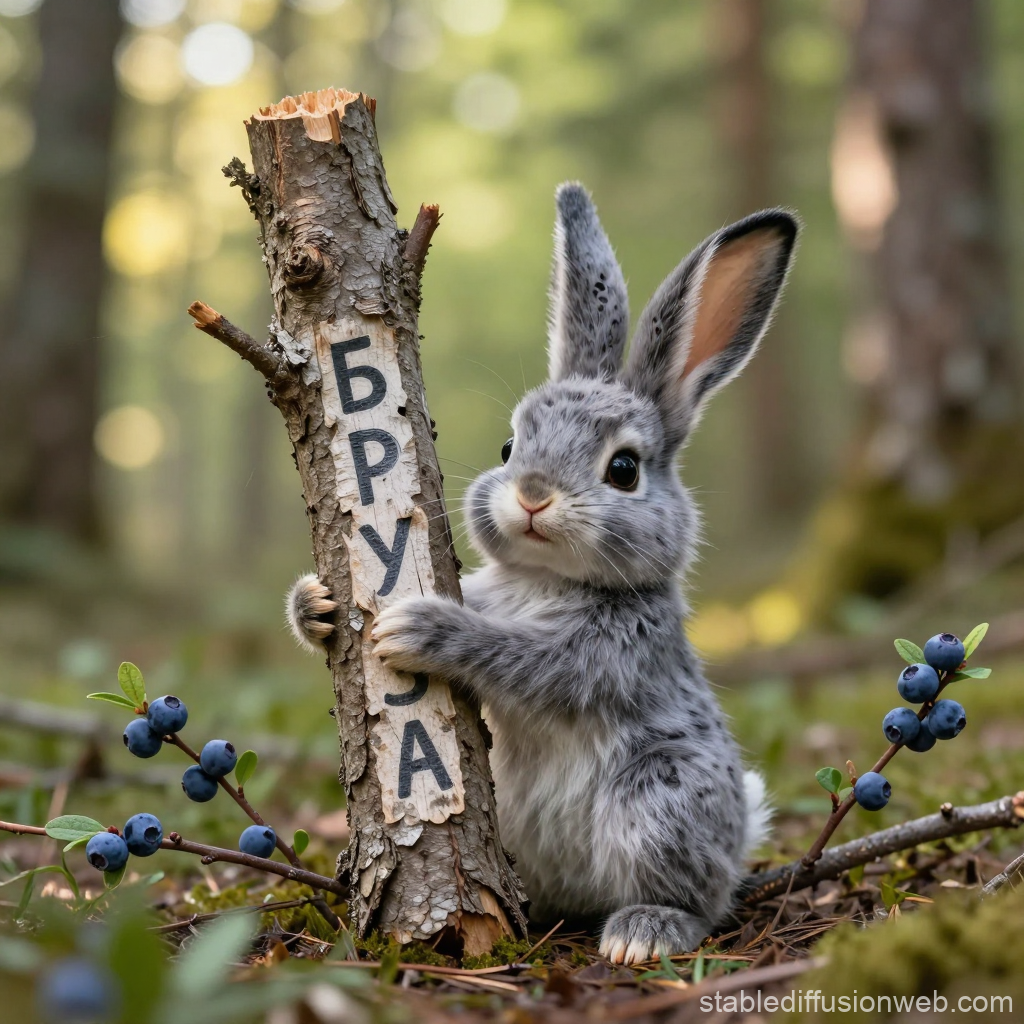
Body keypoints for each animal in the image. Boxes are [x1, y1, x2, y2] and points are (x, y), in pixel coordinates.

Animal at [288, 183, 798, 964]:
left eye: (624, 469)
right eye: (509, 445)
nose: (531, 493)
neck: (544, 578)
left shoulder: (609, 652)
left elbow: (527, 660)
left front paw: (420, 629)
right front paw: (313, 606)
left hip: (663, 795)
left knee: (697, 899)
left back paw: (642, 933)